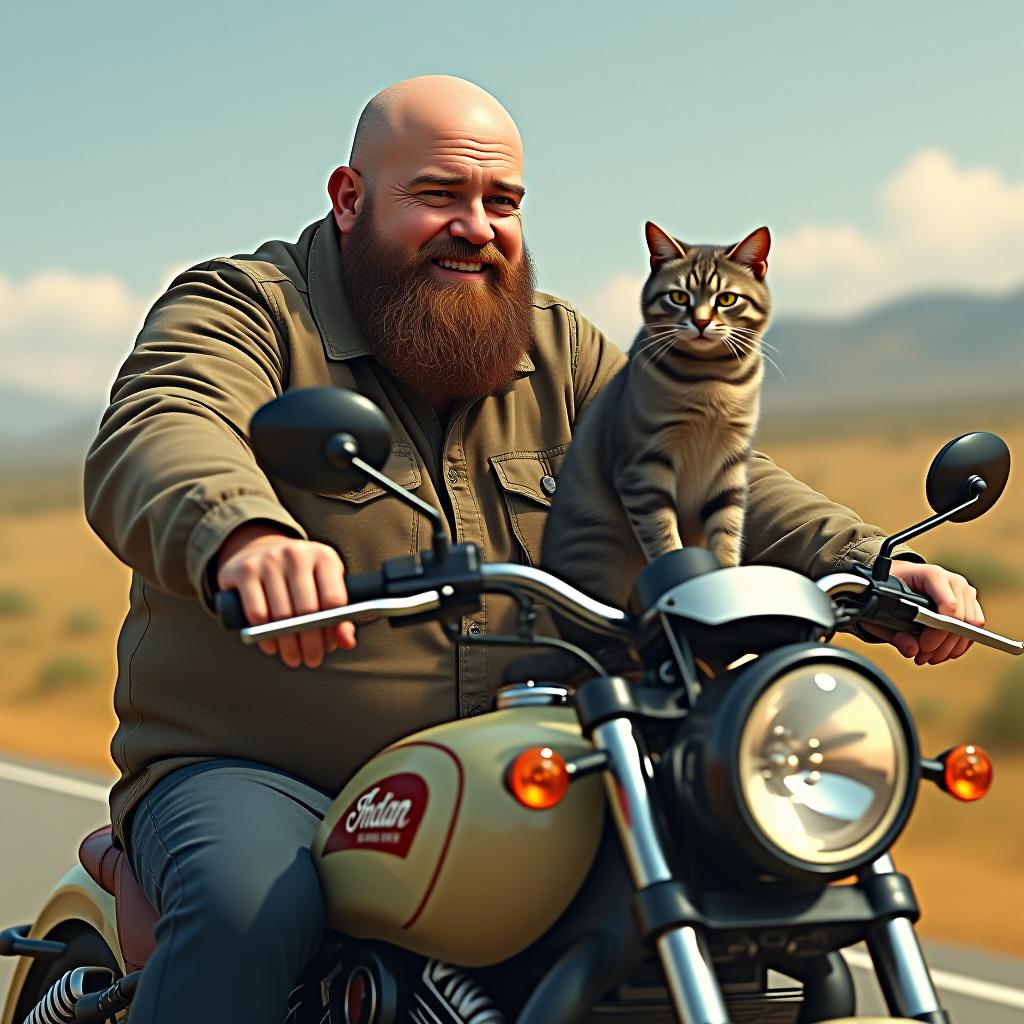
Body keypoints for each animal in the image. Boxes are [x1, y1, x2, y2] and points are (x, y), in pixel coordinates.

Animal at [540, 221, 770, 610]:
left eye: (726, 299)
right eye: (678, 297)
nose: (701, 323)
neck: (711, 380)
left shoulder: (730, 466)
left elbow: (727, 532)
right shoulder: (643, 468)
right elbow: (664, 540)